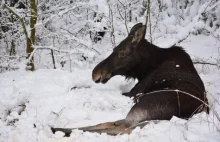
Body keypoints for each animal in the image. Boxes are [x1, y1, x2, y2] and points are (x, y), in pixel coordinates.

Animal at [51, 22, 208, 136]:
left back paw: (57, 129)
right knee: (109, 123)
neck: (145, 67)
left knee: (119, 128)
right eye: (114, 49)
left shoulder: (133, 93)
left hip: (142, 106)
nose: (96, 73)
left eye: (122, 52)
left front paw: (74, 87)